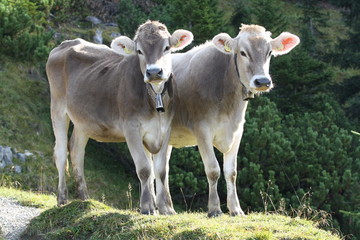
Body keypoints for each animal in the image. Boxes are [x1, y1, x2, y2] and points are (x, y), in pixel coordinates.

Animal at [46, 20, 193, 215]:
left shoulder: (166, 130)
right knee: (61, 152)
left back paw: (84, 199)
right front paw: (147, 207)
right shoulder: (131, 128)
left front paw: (166, 209)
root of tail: (66, 43)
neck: (154, 99)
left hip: (83, 121)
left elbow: (160, 171)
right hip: (58, 108)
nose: (154, 72)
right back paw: (62, 198)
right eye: (139, 51)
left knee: (77, 151)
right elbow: (145, 168)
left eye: (167, 47)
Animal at [153, 23, 300, 217]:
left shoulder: (237, 132)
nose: (262, 81)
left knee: (161, 167)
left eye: (269, 52)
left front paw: (236, 209)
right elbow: (213, 170)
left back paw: (165, 207)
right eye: (243, 52)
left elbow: (231, 172)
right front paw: (214, 209)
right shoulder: (202, 131)